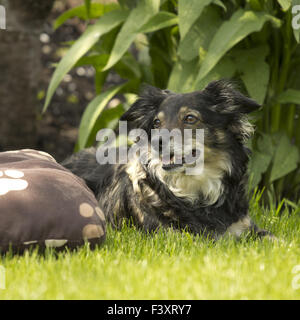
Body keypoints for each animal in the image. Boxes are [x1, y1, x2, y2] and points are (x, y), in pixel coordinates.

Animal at [62, 80, 270, 240]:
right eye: (156, 123)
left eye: (190, 118)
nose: (157, 142)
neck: (197, 189)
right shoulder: (174, 237)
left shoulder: (245, 227)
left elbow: (272, 239)